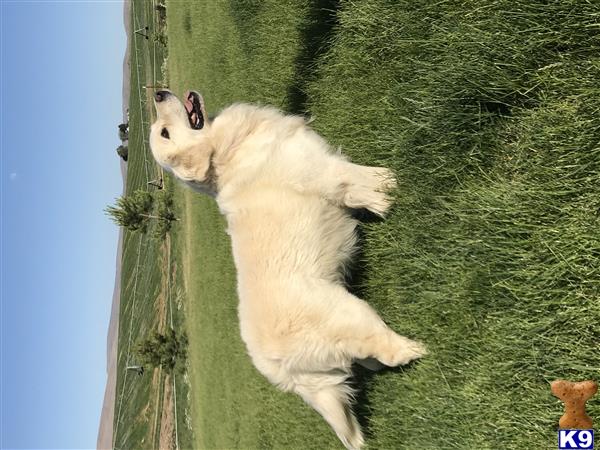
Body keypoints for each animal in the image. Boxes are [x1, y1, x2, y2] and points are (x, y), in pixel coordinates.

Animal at [148, 89, 424, 448]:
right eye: (165, 132)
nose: (157, 93)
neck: (225, 154)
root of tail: (282, 370)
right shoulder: (329, 171)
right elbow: (369, 179)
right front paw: (394, 184)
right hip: (353, 314)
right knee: (385, 350)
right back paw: (416, 349)